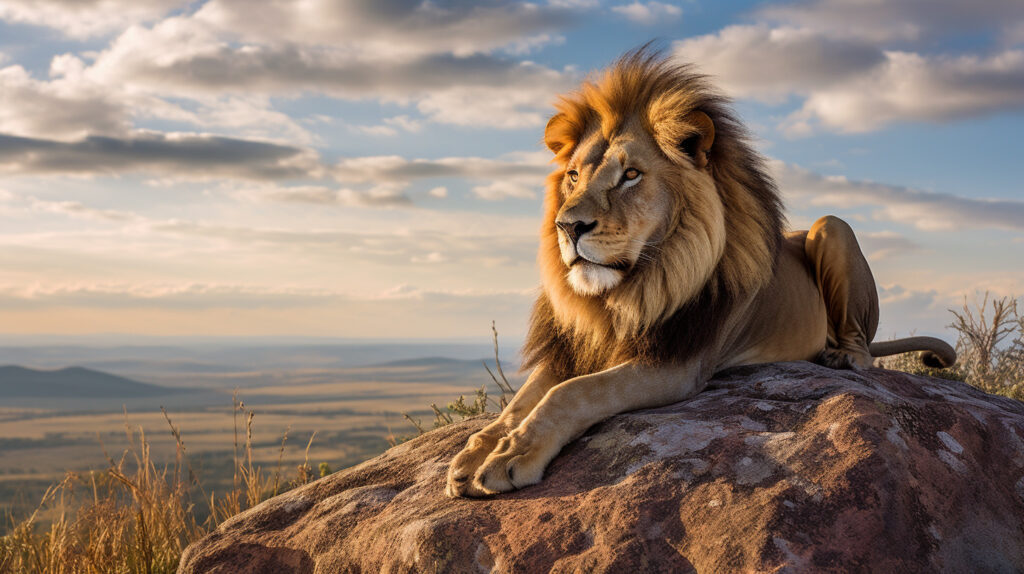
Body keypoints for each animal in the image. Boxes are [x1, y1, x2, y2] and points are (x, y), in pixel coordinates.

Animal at [444, 50, 954, 497]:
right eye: (572, 176)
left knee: (861, 345)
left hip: (833, 227)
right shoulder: (577, 348)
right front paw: (475, 454)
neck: (626, 292)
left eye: (631, 175)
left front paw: (512, 458)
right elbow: (518, 405)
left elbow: (573, 394)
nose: (567, 227)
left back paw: (840, 357)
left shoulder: (677, 364)